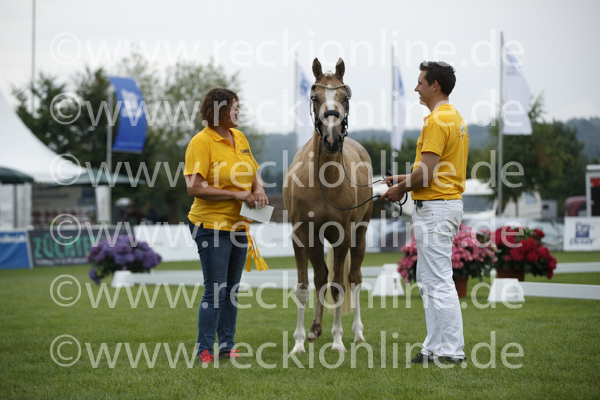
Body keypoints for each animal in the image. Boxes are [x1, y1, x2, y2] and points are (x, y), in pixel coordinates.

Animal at [283, 58, 373, 354]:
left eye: (346, 97)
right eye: (315, 96)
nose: (332, 140)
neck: (322, 179)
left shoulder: (341, 236)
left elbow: (338, 286)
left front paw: (337, 341)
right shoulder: (301, 235)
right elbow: (304, 287)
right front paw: (299, 343)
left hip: (360, 234)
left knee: (354, 279)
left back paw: (356, 333)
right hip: (315, 239)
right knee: (321, 276)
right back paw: (314, 329)